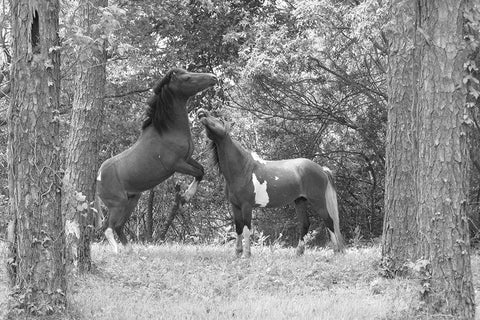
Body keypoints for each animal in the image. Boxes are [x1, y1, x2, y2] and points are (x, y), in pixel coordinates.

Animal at [95, 68, 216, 252]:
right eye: (187, 78)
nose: (213, 77)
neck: (165, 131)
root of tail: (98, 176)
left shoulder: (188, 159)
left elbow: (201, 171)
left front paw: (185, 197)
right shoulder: (177, 165)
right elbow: (198, 173)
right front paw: (186, 197)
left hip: (132, 200)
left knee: (118, 226)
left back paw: (129, 251)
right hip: (118, 204)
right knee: (108, 227)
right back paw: (117, 251)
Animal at [197, 110, 344, 258]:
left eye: (220, 120)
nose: (201, 112)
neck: (243, 170)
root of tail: (321, 169)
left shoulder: (246, 206)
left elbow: (246, 229)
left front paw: (247, 254)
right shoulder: (235, 206)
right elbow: (238, 228)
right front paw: (238, 253)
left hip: (318, 201)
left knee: (329, 221)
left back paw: (336, 252)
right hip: (300, 200)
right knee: (305, 224)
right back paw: (299, 252)